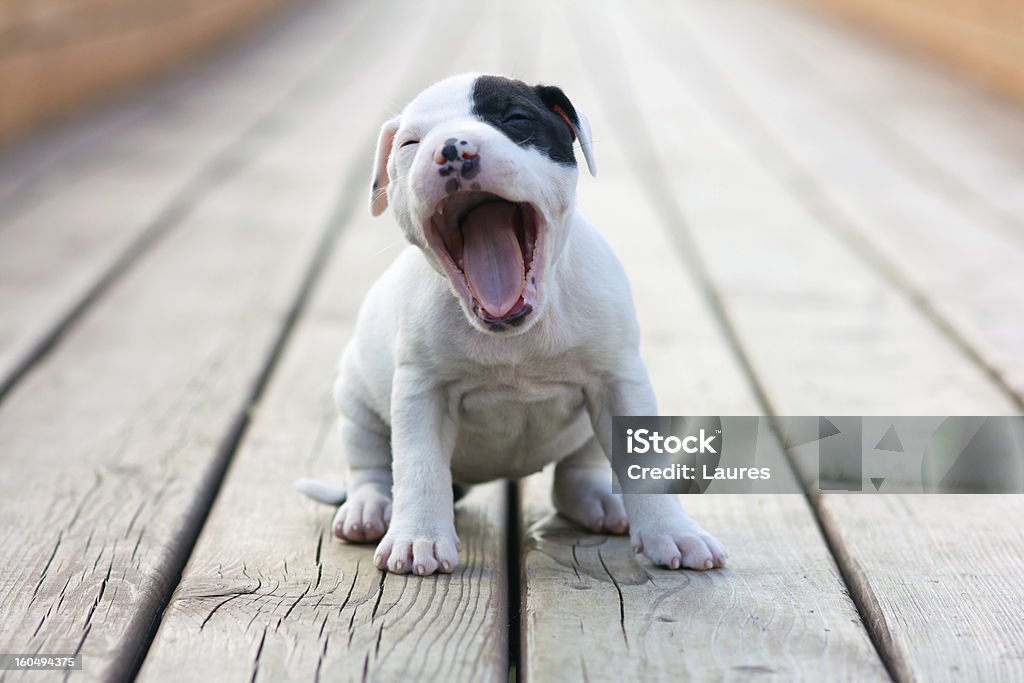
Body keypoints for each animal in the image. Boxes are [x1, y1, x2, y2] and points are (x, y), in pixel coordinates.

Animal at [296, 73, 729, 577]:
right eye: (410, 143)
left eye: (516, 119)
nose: (452, 149)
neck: (517, 334)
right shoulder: (421, 393)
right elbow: (419, 466)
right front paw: (419, 538)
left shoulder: (621, 381)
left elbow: (647, 465)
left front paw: (673, 533)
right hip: (354, 398)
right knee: (370, 465)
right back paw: (369, 509)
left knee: (575, 475)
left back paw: (603, 501)